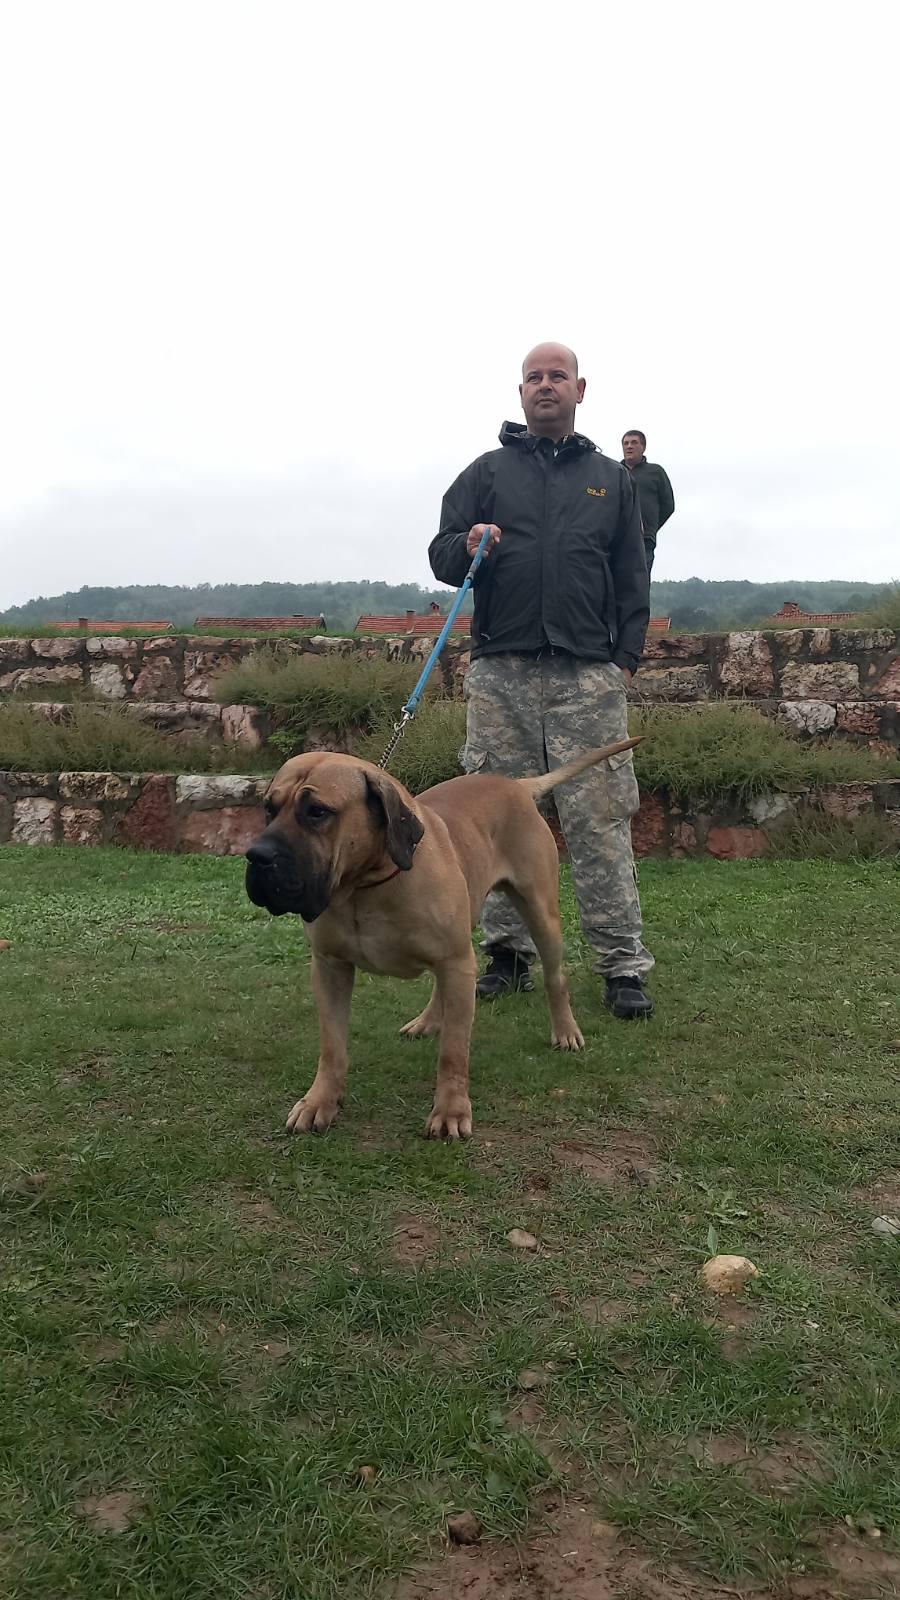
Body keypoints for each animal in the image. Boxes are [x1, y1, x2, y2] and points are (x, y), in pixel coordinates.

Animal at [245, 738, 639, 1140]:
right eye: (268, 808)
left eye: (318, 812)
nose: (256, 856)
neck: (364, 885)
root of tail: (517, 786)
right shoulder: (330, 967)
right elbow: (332, 1045)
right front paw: (319, 1101)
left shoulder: (456, 962)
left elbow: (453, 1051)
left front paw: (450, 1111)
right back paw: (428, 1020)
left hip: (540, 915)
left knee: (555, 978)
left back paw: (565, 1030)